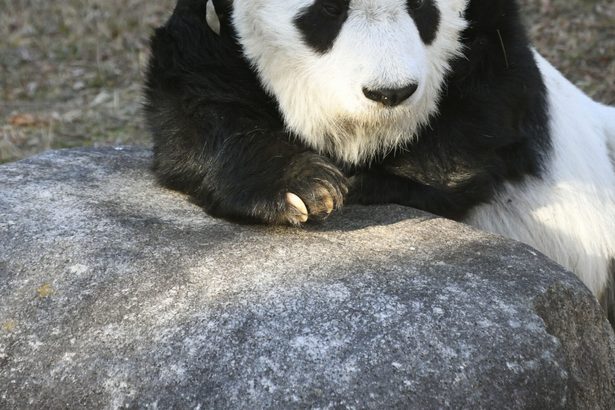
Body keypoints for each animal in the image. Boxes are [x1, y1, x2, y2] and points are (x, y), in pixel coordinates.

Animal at [144, 0, 615, 326]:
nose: (391, 93)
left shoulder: (490, 41)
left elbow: (486, 105)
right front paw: (303, 187)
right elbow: (196, 104)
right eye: (328, 9)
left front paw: (373, 183)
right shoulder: (211, 39)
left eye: (422, 5)